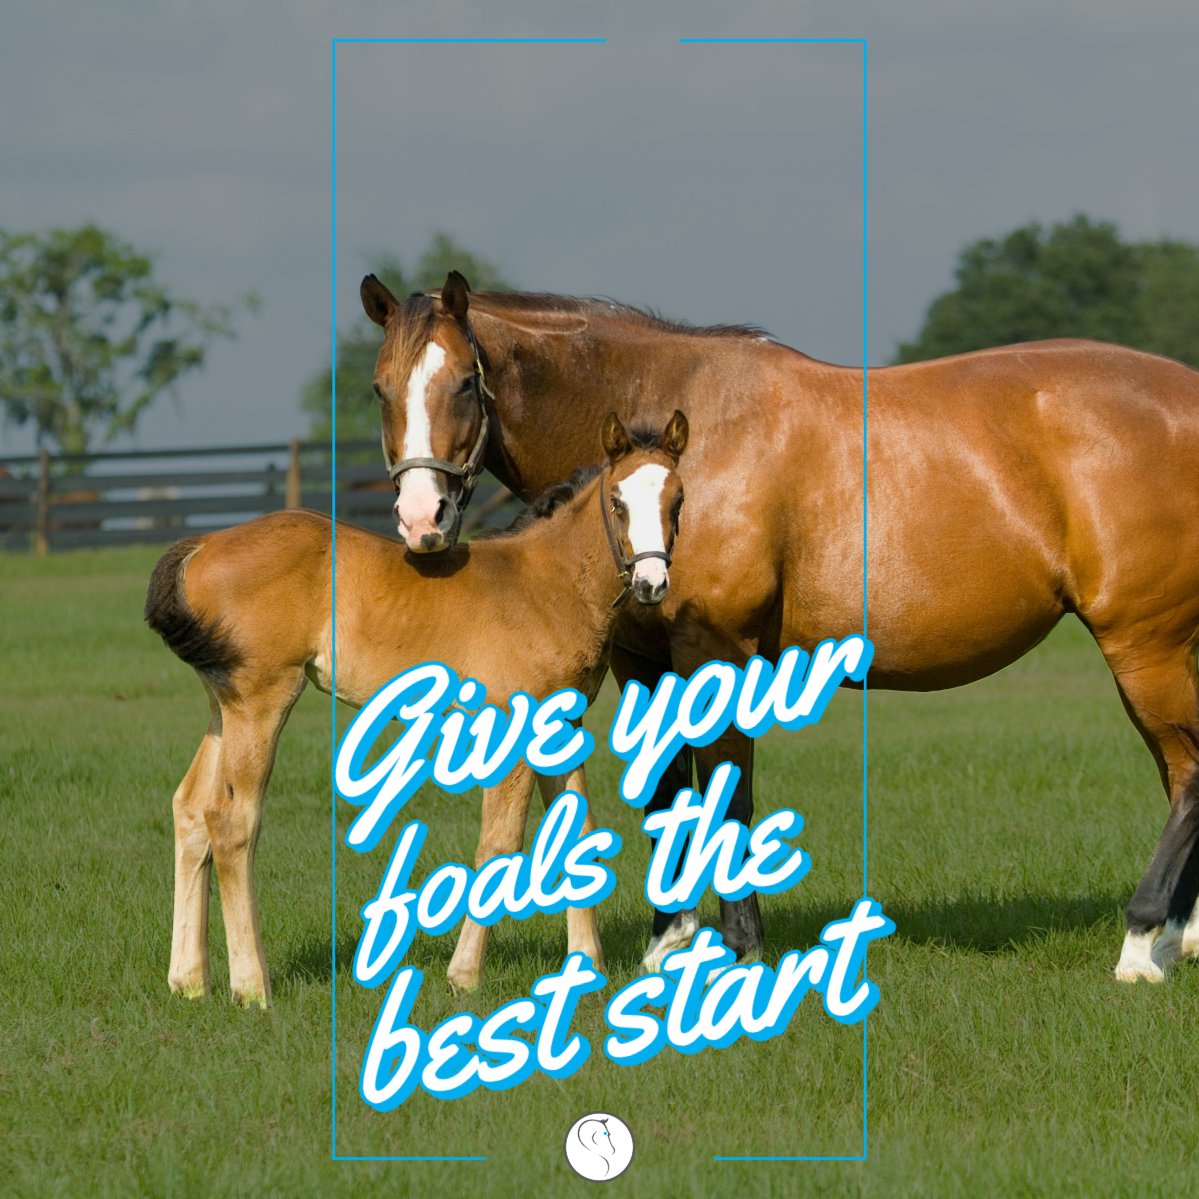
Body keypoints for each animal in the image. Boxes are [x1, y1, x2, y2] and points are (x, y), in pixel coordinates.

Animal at [145, 410, 689, 1005]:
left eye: (678, 499)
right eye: (617, 501)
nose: (652, 583)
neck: (546, 584)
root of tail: (202, 545)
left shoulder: (560, 726)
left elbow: (578, 837)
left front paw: (585, 966)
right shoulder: (514, 726)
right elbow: (499, 843)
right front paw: (464, 975)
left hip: (223, 709)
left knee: (190, 810)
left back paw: (188, 980)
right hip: (262, 700)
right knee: (231, 820)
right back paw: (252, 986)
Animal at [361, 269, 1199, 983]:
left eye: (464, 382)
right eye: (379, 389)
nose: (421, 520)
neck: (679, 440)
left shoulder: (716, 651)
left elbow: (727, 794)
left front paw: (738, 947)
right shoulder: (643, 662)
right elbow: (667, 794)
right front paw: (668, 945)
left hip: (1142, 644)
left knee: (1185, 772)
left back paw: (1140, 940)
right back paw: (1178, 937)